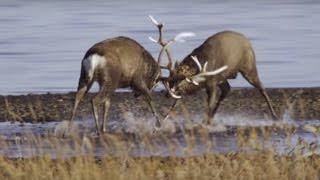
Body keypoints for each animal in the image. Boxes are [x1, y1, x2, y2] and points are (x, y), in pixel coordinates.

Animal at [149, 16, 278, 125]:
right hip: (224, 77)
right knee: (227, 89)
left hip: (249, 67)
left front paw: (204, 122)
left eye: (180, 82)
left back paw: (274, 116)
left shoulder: (211, 82)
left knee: (261, 87)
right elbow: (176, 105)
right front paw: (162, 121)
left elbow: (209, 104)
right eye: (170, 81)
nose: (167, 94)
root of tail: (247, 40)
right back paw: (211, 117)